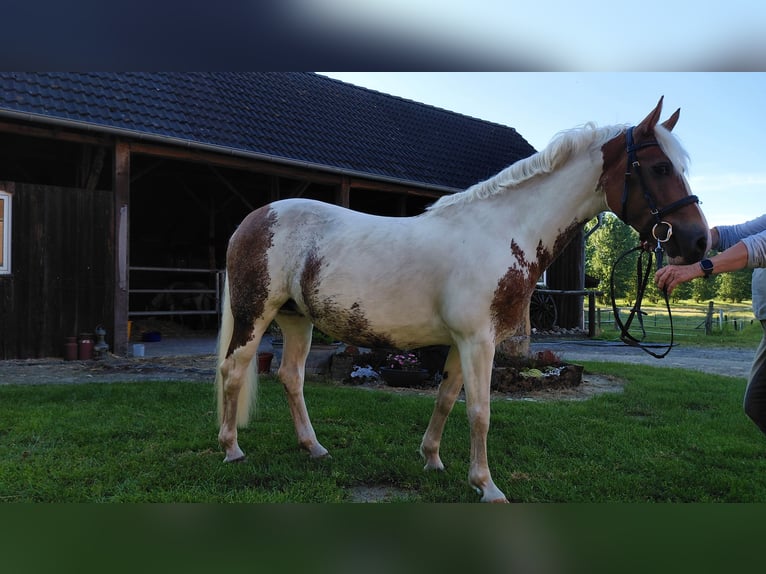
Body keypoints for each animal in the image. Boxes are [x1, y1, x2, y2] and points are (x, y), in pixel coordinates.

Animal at [214, 97, 710, 502]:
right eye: (660, 168)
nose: (699, 242)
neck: (501, 232)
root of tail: (254, 219)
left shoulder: (461, 342)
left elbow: (447, 397)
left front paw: (433, 459)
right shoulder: (479, 341)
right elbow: (479, 411)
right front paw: (487, 486)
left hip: (296, 319)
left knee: (291, 377)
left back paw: (313, 447)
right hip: (255, 314)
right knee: (234, 369)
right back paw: (231, 449)